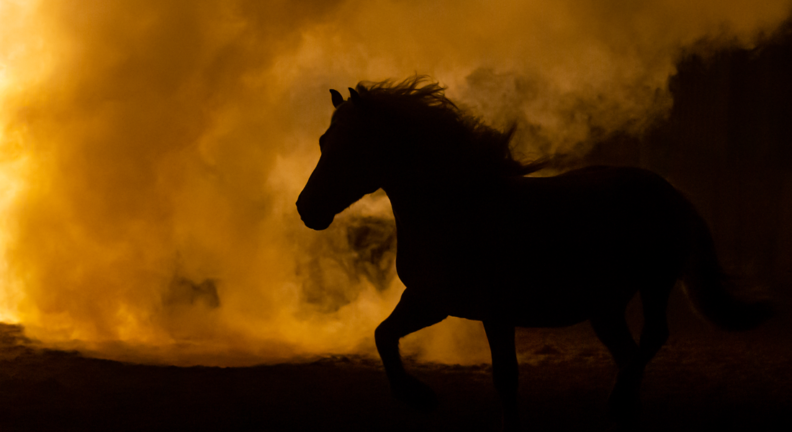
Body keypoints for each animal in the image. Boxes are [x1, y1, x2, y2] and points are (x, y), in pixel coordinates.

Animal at [295, 76, 769, 431]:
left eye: (351, 145)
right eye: (322, 140)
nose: (306, 208)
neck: (459, 209)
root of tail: (670, 192)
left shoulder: (494, 312)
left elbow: (506, 380)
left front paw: (426, 398)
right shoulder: (431, 301)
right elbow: (383, 335)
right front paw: (421, 398)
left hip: (654, 282)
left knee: (651, 338)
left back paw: (617, 403)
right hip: (605, 306)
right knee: (629, 353)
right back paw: (620, 409)